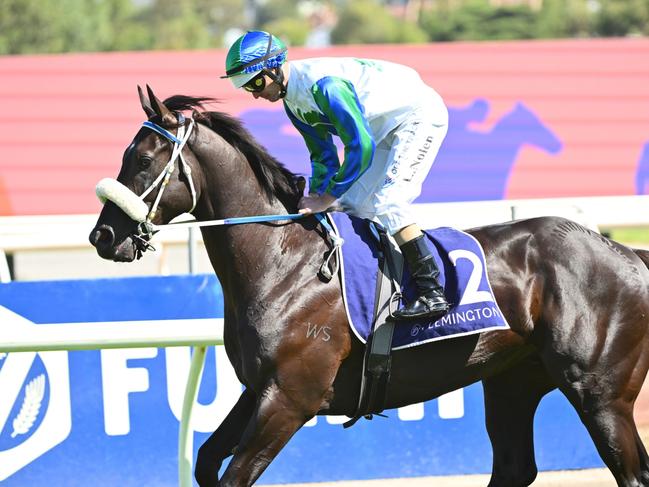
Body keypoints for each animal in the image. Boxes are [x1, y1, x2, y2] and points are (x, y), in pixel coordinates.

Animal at [90, 87, 648, 487]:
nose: (103, 236)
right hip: (513, 379)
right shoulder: (261, 387)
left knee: (631, 472)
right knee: (514, 468)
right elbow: (206, 461)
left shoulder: (291, 397)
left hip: (599, 394)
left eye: (143, 160)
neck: (284, 262)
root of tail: (627, 253)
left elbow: (232, 477)